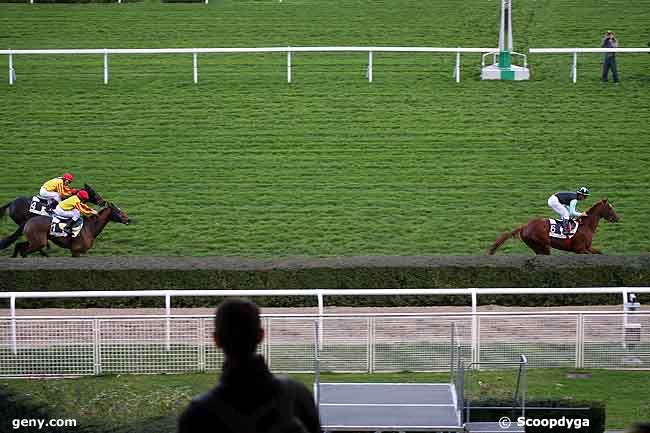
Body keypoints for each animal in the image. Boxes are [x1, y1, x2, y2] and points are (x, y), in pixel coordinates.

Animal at [486, 198, 616, 255]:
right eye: (610, 208)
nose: (617, 218)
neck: (586, 226)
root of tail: (524, 226)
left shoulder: (587, 248)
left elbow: (599, 253)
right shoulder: (580, 249)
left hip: (536, 247)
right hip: (543, 245)